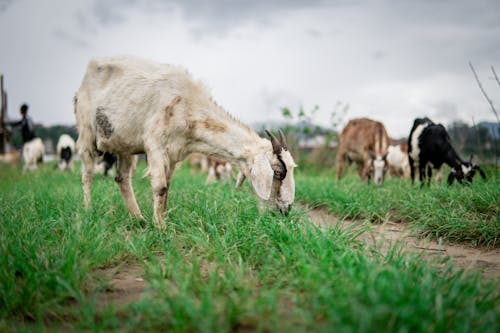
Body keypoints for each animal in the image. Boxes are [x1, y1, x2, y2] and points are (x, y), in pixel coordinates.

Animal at [72, 55, 294, 227]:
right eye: (277, 172)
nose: (286, 209)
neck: (188, 106)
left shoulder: (173, 153)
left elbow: (167, 188)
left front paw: (162, 221)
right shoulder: (155, 144)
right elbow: (160, 187)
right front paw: (160, 227)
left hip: (125, 144)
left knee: (122, 178)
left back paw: (139, 219)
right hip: (87, 131)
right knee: (87, 174)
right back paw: (88, 210)